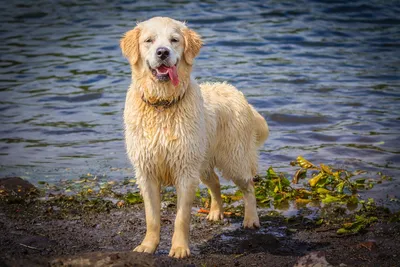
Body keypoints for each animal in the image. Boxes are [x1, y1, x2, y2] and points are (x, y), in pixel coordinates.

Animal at [119, 17, 268, 260]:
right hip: (203, 161)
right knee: (215, 182)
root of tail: (237, 93)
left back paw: (251, 219)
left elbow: (181, 218)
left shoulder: (185, 171)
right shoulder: (146, 171)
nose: (162, 52)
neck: (163, 104)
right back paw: (216, 212)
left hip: (232, 158)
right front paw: (148, 245)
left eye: (174, 40)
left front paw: (179, 248)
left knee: (248, 186)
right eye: (149, 40)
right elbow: (152, 217)